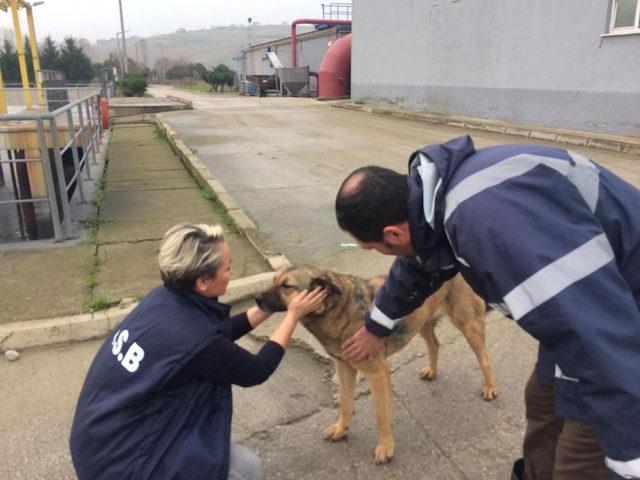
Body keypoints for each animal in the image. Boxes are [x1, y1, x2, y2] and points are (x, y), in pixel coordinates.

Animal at [255, 264, 500, 464]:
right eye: (273, 280)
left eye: (286, 286)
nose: (256, 298)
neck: (338, 309)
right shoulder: (344, 367)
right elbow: (345, 403)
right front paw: (341, 430)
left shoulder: (378, 373)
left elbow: (381, 416)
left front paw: (386, 447)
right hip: (421, 322)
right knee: (435, 344)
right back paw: (432, 370)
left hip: (468, 325)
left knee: (485, 358)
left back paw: (490, 387)